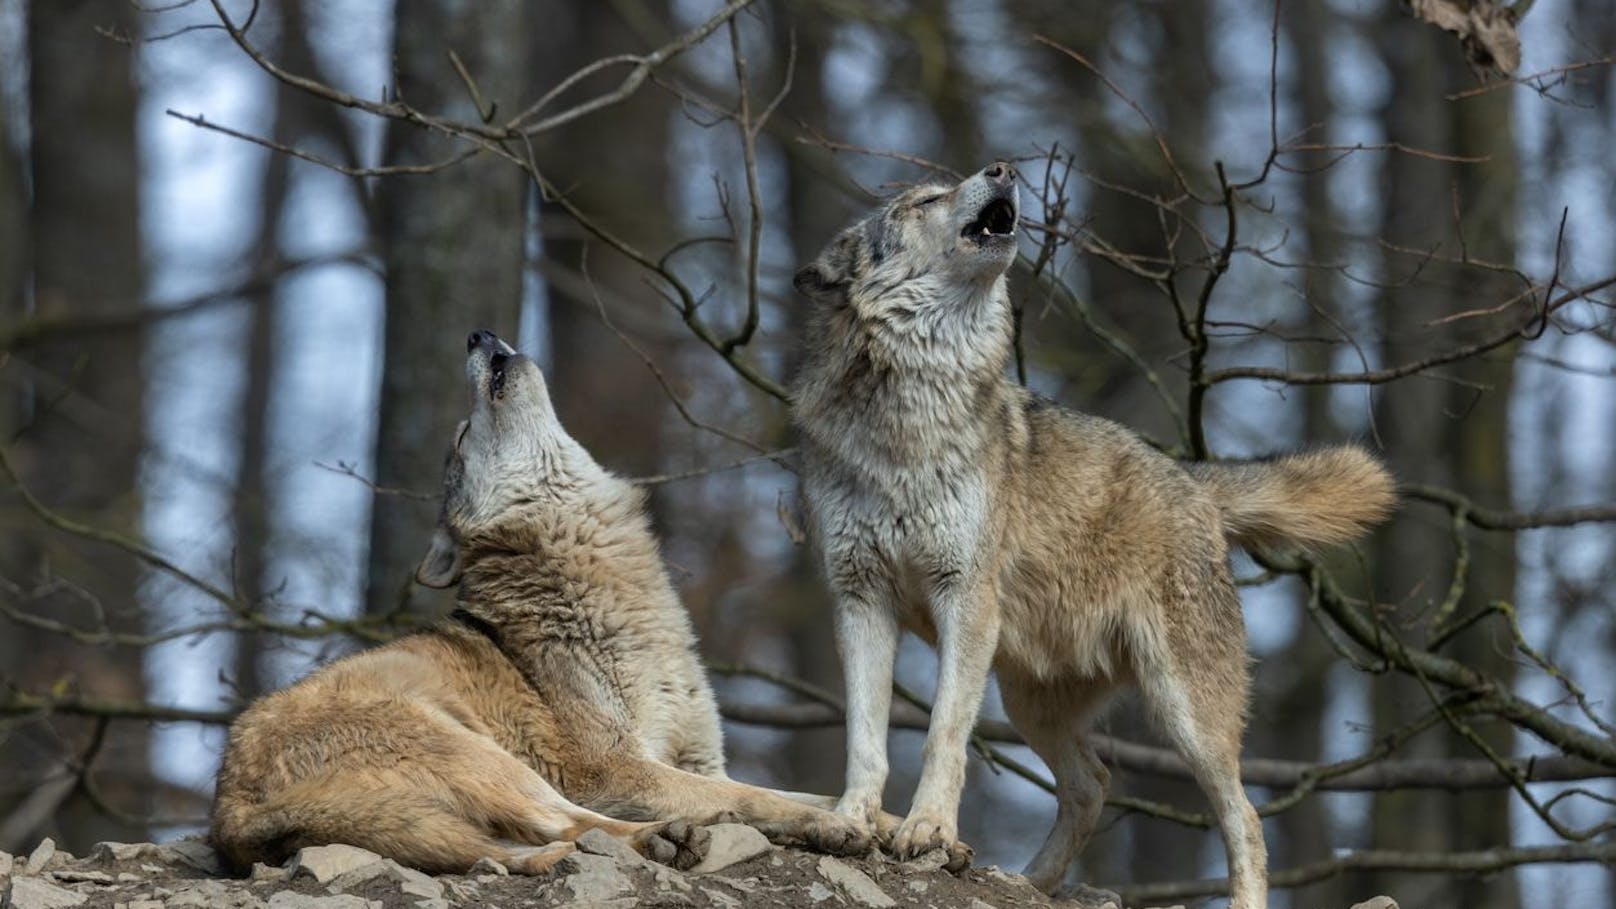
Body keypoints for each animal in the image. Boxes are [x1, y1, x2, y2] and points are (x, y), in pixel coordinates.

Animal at [213, 326, 879, 873]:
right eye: (462, 434)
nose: (477, 333)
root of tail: (228, 811)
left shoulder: (700, 759)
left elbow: (798, 791)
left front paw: (879, 822)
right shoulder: (617, 768)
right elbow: (754, 796)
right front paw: (828, 825)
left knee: (521, 843)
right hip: (481, 754)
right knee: (574, 825)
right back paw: (664, 837)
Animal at [788, 164, 1396, 905]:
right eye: (925, 200)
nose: (1002, 168)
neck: (908, 414)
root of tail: (1194, 479)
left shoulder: (965, 598)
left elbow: (943, 734)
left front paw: (927, 830)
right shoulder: (859, 598)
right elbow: (865, 737)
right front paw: (851, 821)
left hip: (1184, 711)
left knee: (1244, 818)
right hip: (1030, 701)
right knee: (1094, 784)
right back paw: (1029, 880)